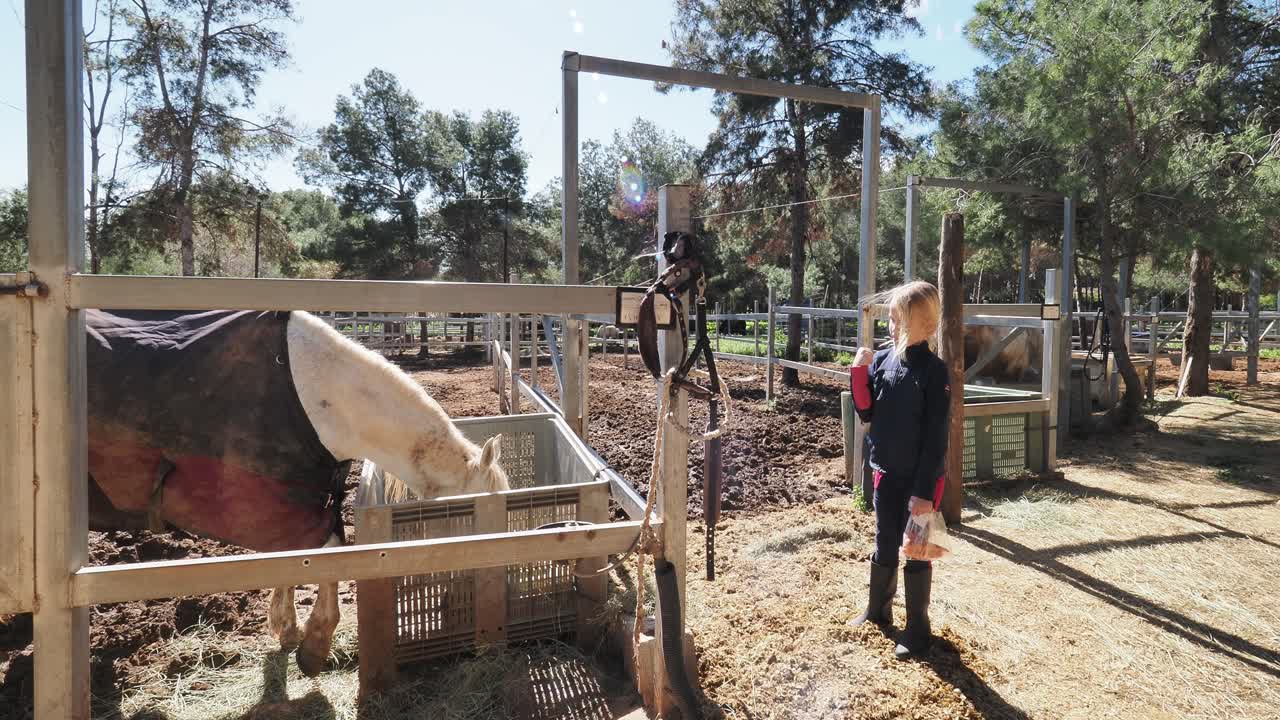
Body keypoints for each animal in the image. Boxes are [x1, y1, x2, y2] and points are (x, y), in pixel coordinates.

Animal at [86, 309, 510, 676]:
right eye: (477, 522)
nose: (477, 598)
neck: (318, 400)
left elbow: (296, 558)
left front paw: (287, 629)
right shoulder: (261, 504)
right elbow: (325, 554)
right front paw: (313, 643)